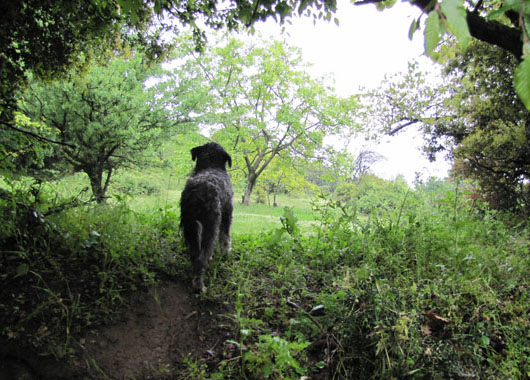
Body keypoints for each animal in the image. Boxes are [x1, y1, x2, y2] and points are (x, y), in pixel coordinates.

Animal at [178, 141, 232, 292]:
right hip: (211, 226)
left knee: (195, 255)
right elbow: (225, 238)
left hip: (190, 226)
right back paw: (200, 286)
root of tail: (197, 191)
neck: (210, 166)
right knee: (202, 257)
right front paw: (225, 253)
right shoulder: (227, 215)